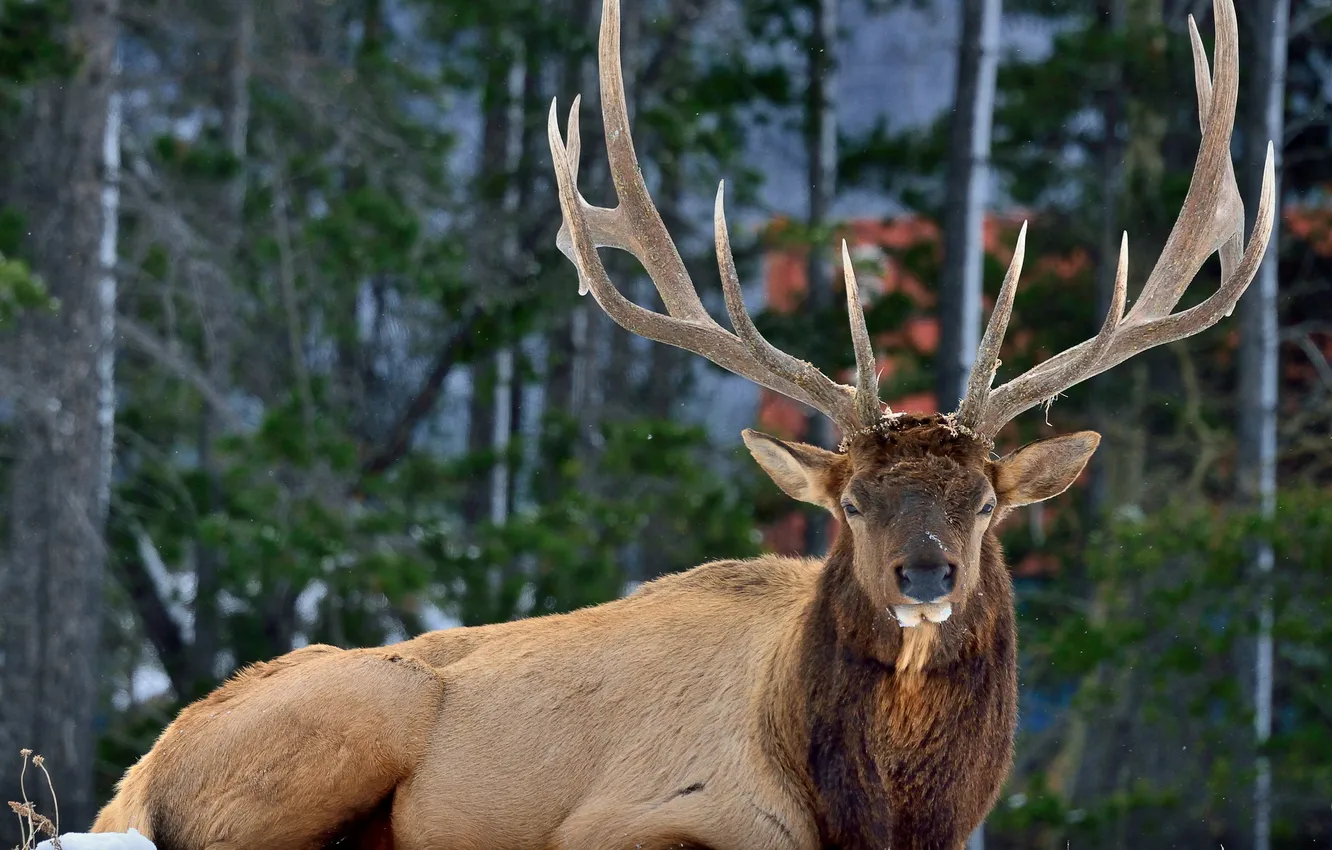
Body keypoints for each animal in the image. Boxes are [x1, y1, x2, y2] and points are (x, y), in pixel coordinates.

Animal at [93, 1, 1268, 850]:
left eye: (985, 503)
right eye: (850, 503)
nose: (926, 573)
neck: (876, 813)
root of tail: (135, 777)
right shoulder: (631, 819)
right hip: (349, 721)